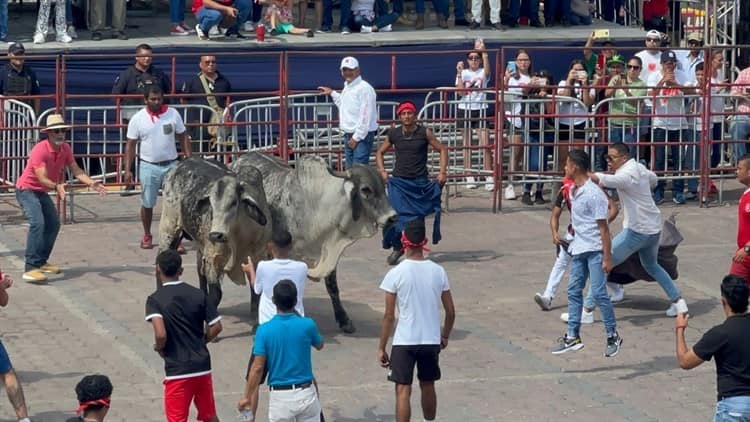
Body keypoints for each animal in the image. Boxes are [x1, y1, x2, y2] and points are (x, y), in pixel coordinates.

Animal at [159, 157, 270, 306]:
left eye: (234, 202)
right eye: (211, 204)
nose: (216, 235)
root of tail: (180, 164)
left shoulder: (258, 257)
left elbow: (256, 292)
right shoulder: (213, 258)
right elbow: (216, 294)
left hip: (200, 244)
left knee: (200, 271)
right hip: (169, 230)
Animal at [235, 152, 400, 332]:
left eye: (383, 184)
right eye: (366, 189)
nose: (392, 217)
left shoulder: (330, 251)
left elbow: (332, 286)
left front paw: (344, 320)